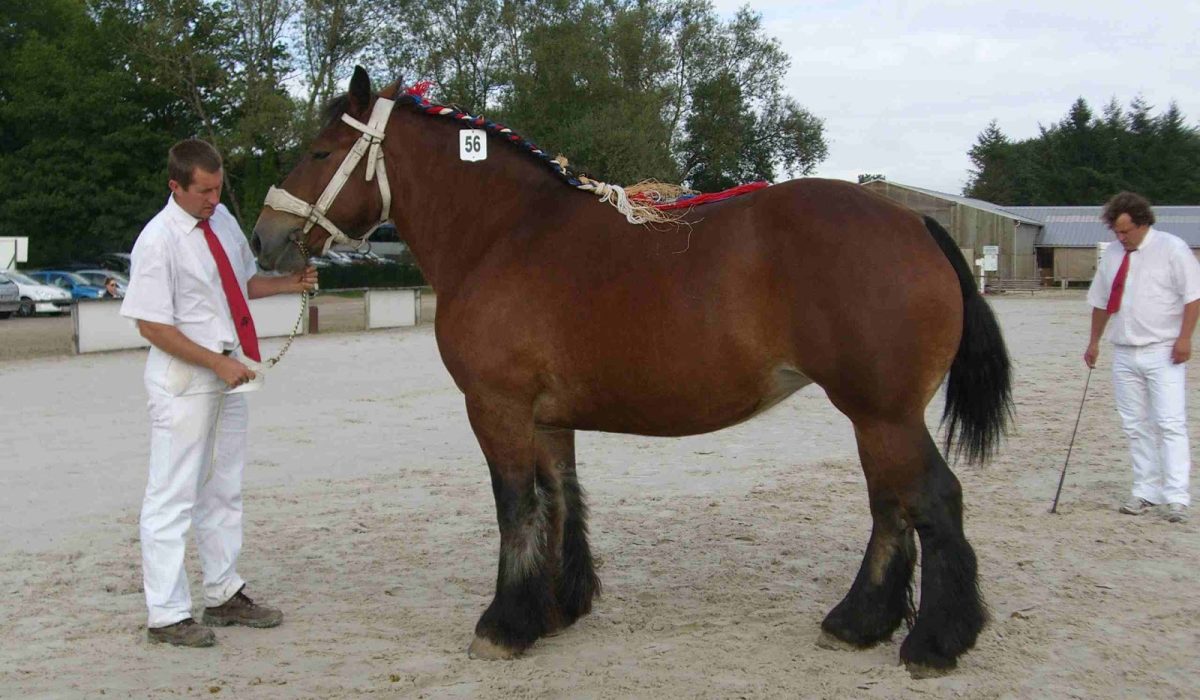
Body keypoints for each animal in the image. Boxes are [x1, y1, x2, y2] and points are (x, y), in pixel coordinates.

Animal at [252, 67, 1012, 675]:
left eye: (320, 151)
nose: (264, 237)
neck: (505, 233)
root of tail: (914, 223)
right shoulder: (546, 417)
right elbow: (559, 499)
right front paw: (555, 609)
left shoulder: (496, 406)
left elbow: (514, 506)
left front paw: (503, 625)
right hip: (875, 415)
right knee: (891, 507)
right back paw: (858, 624)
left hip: (883, 412)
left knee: (930, 501)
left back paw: (932, 642)